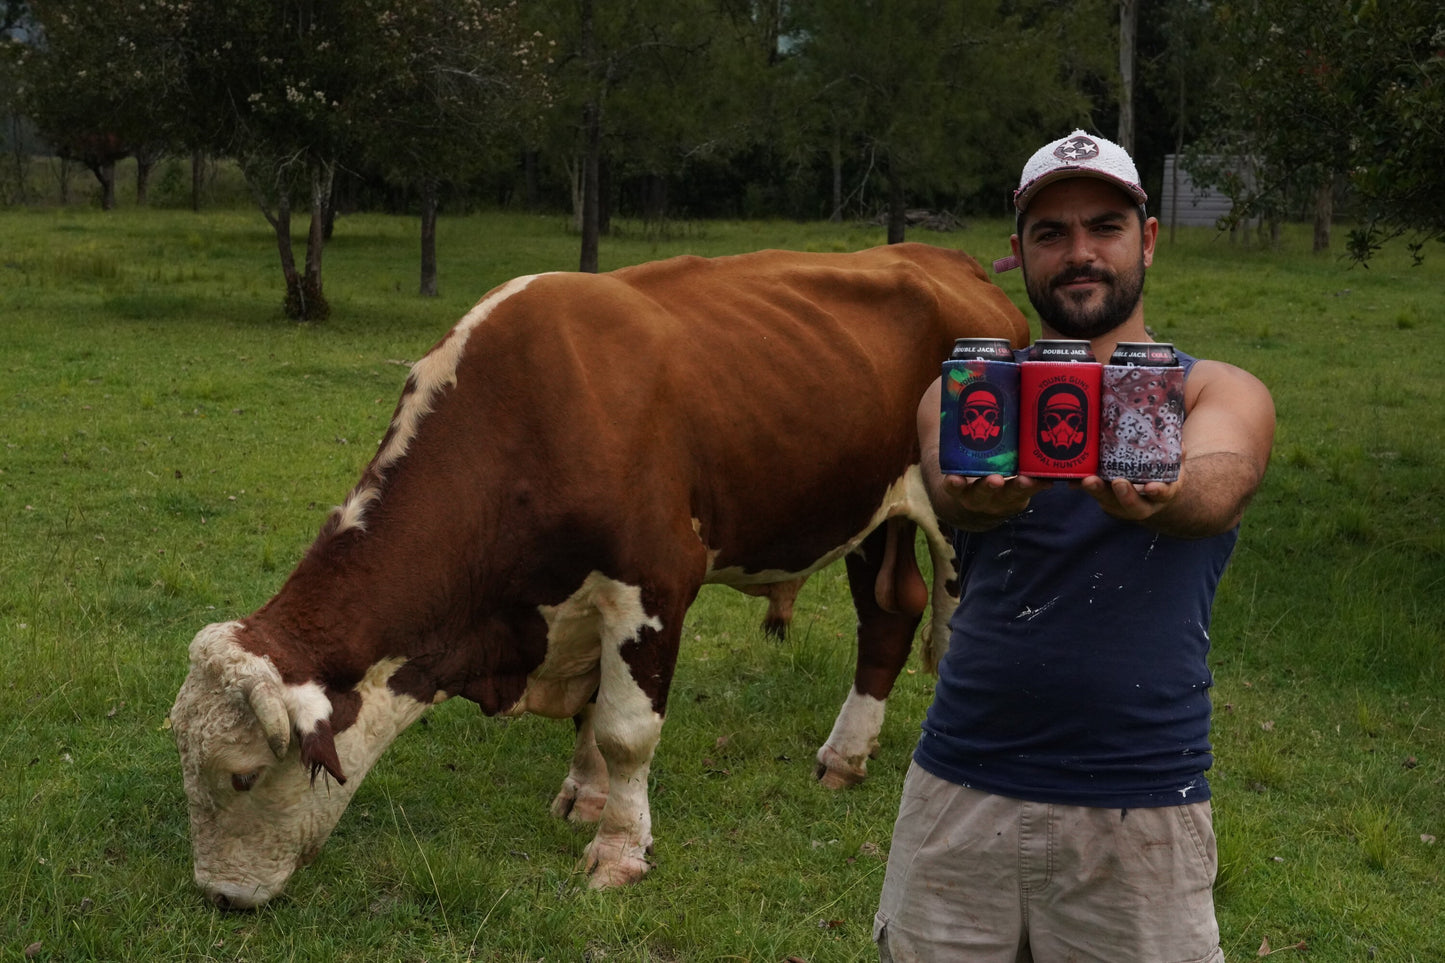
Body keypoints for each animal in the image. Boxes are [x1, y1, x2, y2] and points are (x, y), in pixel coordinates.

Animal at [169, 238, 1028, 902]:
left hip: (964, 515)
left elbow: (623, 729)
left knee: (953, 628)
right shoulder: (573, 604)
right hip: (864, 514)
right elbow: (588, 710)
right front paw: (583, 797)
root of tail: (949, 262)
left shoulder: (652, 582)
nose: (219, 895)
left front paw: (618, 849)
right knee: (888, 617)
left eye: (242, 774)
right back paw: (845, 756)